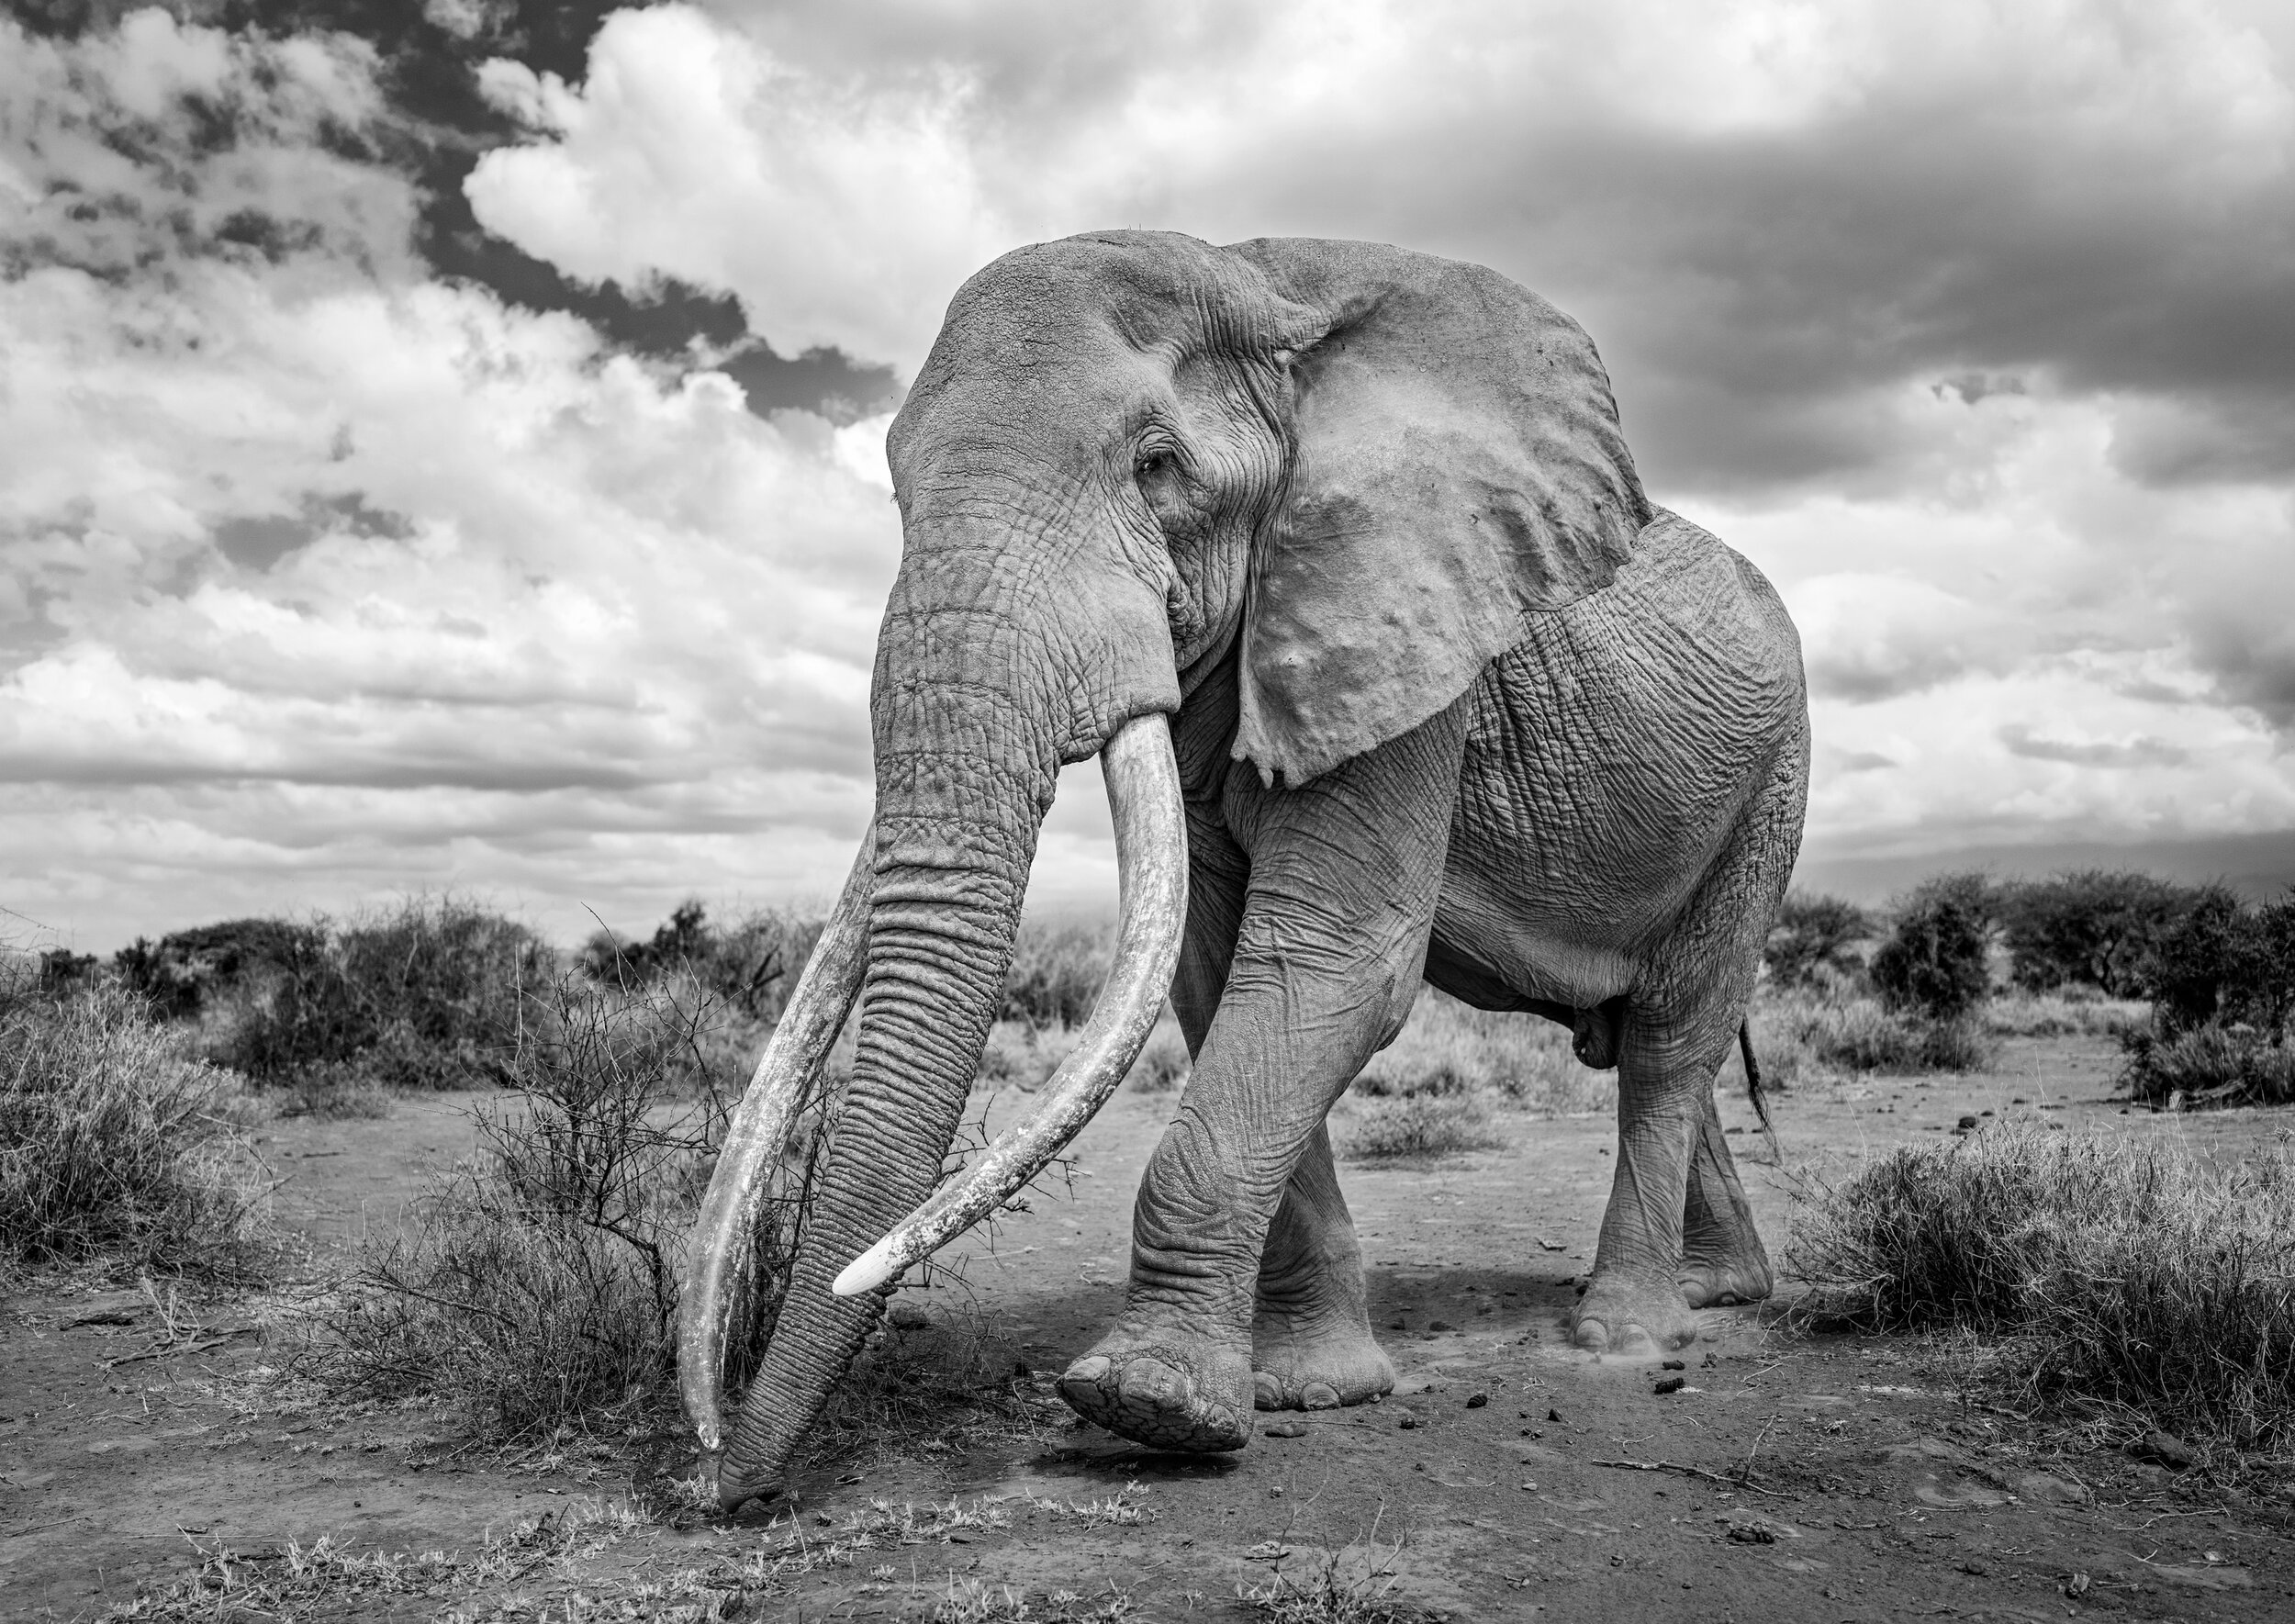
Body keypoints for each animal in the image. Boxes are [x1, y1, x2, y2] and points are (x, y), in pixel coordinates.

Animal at [679, 228, 1808, 1514]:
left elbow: (1330, 967)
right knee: (1657, 1039)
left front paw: (1146, 1405)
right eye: (895, 490)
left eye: (1156, 466)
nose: (718, 1484)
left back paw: (1624, 1337)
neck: (1263, 283)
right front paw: (1304, 1390)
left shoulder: (1404, 638)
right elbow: (1218, 973)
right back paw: (1720, 1292)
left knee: (1674, 1031)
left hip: (1771, 780)